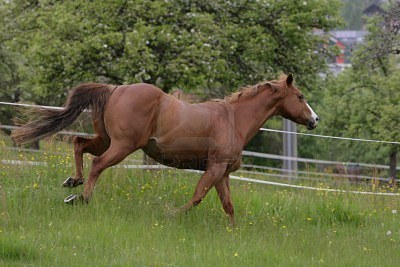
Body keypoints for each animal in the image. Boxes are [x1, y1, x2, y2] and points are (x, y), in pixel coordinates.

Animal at [11, 73, 318, 224]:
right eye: (301, 96)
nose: (314, 120)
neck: (233, 119)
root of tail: (115, 89)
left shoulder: (223, 173)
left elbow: (229, 206)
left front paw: (234, 234)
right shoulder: (215, 168)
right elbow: (197, 197)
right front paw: (170, 214)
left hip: (105, 140)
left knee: (79, 145)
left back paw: (72, 182)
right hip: (122, 146)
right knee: (97, 165)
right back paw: (81, 198)